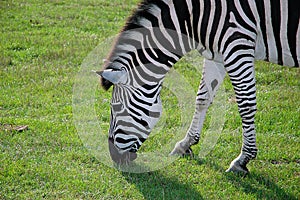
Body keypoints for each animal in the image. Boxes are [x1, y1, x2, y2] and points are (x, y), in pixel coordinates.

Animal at [96, 0, 300, 173]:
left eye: (115, 108)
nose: (114, 158)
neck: (194, 14)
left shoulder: (237, 45)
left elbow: (246, 105)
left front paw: (243, 160)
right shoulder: (218, 52)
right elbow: (203, 98)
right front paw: (185, 144)